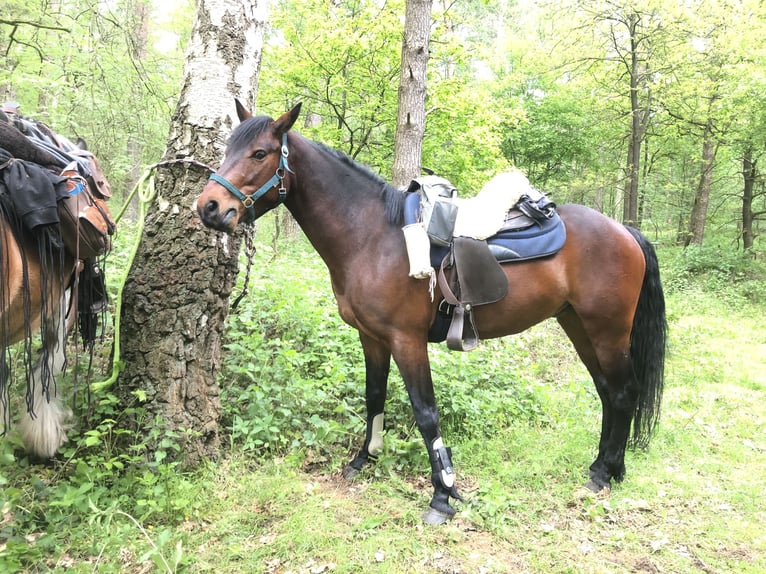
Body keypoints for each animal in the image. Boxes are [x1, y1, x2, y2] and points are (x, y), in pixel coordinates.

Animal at [196, 102, 667, 524]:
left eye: (260, 153)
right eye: (228, 148)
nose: (210, 207)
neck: (372, 236)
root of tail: (625, 231)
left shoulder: (406, 340)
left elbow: (426, 413)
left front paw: (443, 495)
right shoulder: (371, 337)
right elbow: (374, 396)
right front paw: (364, 460)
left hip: (607, 330)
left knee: (623, 393)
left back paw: (605, 474)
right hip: (578, 325)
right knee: (607, 392)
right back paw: (602, 467)